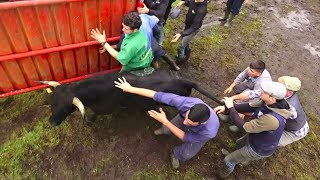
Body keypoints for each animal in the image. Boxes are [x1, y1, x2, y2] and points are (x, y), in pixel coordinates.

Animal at [44, 69, 222, 126]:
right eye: (52, 103)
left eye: (66, 108)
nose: (51, 122)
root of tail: (184, 80)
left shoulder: (104, 109)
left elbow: (95, 115)